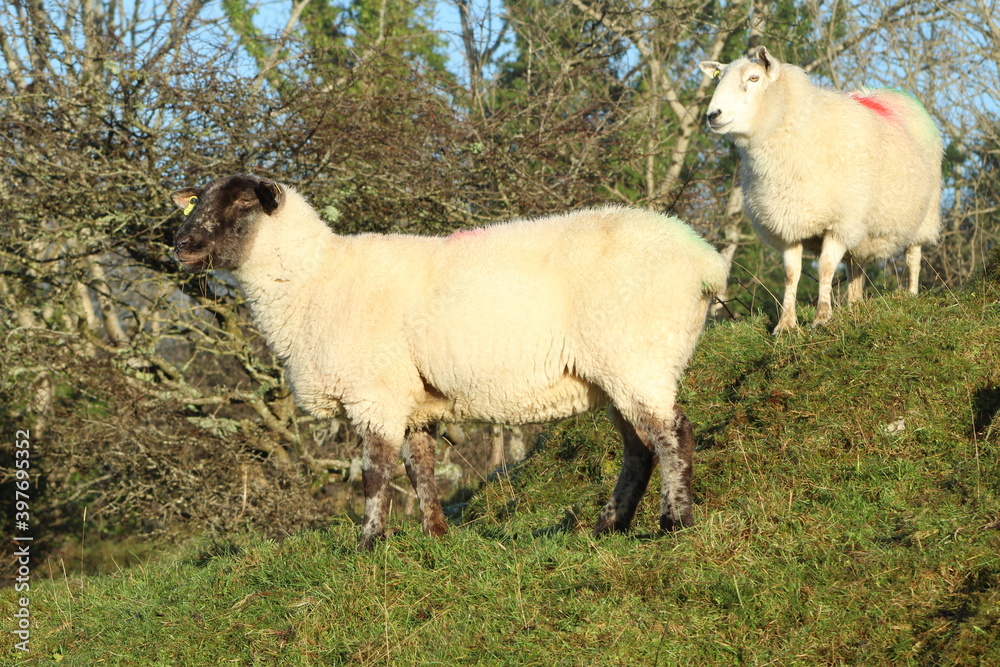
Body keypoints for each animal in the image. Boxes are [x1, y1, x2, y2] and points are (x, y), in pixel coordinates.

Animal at [172, 174, 729, 550]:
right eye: (198, 202)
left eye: (243, 204)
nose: (181, 245)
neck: (313, 281)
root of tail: (705, 261)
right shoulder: (412, 399)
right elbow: (419, 468)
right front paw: (435, 534)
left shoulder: (375, 391)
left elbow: (374, 473)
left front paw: (368, 544)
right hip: (620, 370)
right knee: (639, 447)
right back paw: (608, 527)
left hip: (638, 355)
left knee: (673, 434)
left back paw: (675, 523)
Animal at [699, 46, 943, 334]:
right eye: (719, 78)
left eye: (754, 78)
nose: (713, 115)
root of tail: (886, 93)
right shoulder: (788, 222)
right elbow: (791, 274)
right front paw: (785, 324)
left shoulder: (839, 221)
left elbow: (826, 268)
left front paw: (822, 318)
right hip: (861, 227)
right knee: (855, 265)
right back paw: (855, 304)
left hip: (923, 216)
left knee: (913, 257)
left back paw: (910, 295)